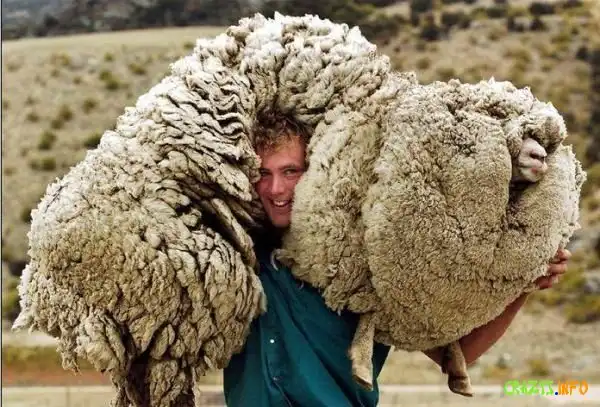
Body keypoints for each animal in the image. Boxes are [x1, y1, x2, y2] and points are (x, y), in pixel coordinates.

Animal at [13, 13, 585, 406]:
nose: (540, 151)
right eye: (494, 115)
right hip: (174, 305)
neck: (383, 114)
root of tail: (37, 287)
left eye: (287, 173)